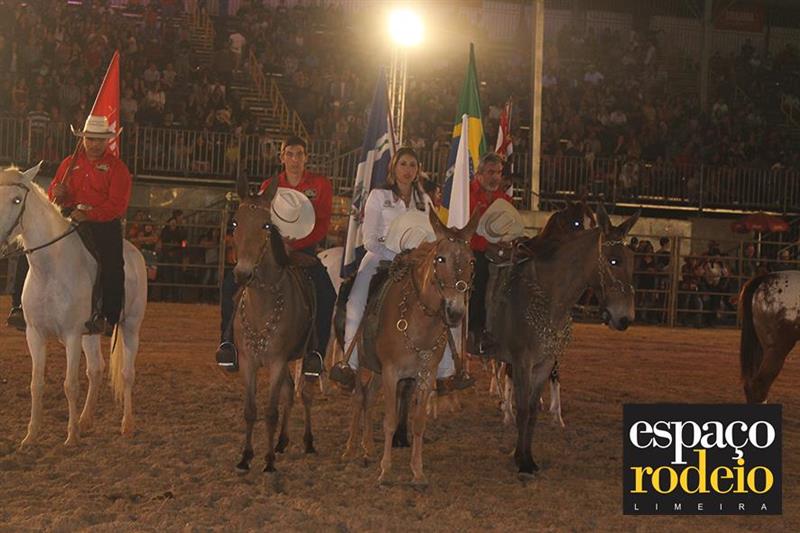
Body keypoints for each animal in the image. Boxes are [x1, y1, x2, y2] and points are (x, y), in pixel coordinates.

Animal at [0, 164, 147, 446]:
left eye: (17, 199)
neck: (51, 267)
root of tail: (136, 253)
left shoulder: (70, 334)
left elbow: (70, 385)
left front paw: (71, 437)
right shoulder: (34, 333)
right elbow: (36, 384)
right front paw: (31, 436)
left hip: (131, 326)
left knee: (127, 373)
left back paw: (127, 425)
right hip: (90, 334)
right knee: (96, 370)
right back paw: (85, 420)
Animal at [230, 174, 317, 473]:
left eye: (266, 225)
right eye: (235, 222)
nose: (242, 273)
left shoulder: (277, 361)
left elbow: (270, 412)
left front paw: (267, 461)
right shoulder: (249, 362)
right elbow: (250, 411)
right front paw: (246, 457)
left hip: (308, 355)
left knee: (304, 394)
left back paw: (308, 442)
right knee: (290, 392)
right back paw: (281, 441)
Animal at [340, 209, 479, 485]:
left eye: (471, 261)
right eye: (440, 258)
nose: (456, 311)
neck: (419, 319)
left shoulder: (424, 376)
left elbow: (418, 422)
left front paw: (417, 471)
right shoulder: (392, 373)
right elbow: (391, 421)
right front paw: (385, 471)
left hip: (378, 371)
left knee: (369, 397)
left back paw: (367, 448)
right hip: (363, 364)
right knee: (359, 397)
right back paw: (350, 448)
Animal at [490, 204, 638, 476]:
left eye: (632, 260)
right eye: (614, 260)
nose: (625, 318)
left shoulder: (546, 360)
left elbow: (533, 409)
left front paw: (528, 457)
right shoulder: (521, 360)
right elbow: (523, 408)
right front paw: (520, 459)